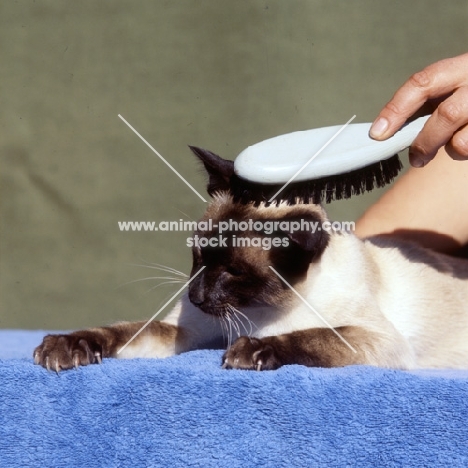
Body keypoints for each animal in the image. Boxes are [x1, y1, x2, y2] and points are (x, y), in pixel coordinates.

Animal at [33, 147, 468, 372]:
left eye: (233, 272)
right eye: (198, 256)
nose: (196, 297)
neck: (263, 311)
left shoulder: (376, 341)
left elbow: (312, 336)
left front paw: (249, 352)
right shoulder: (189, 333)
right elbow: (120, 331)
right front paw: (66, 347)